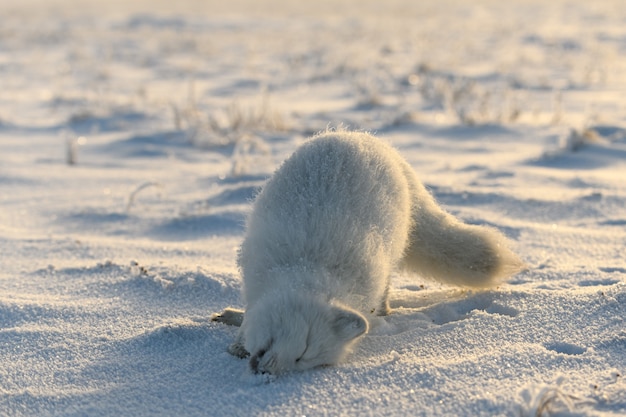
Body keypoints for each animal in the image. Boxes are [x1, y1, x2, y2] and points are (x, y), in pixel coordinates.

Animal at [212, 131, 520, 374]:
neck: (306, 266)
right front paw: (237, 338)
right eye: (305, 345)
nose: (268, 372)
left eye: (305, 359)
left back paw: (384, 311)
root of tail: (375, 142)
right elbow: (247, 318)